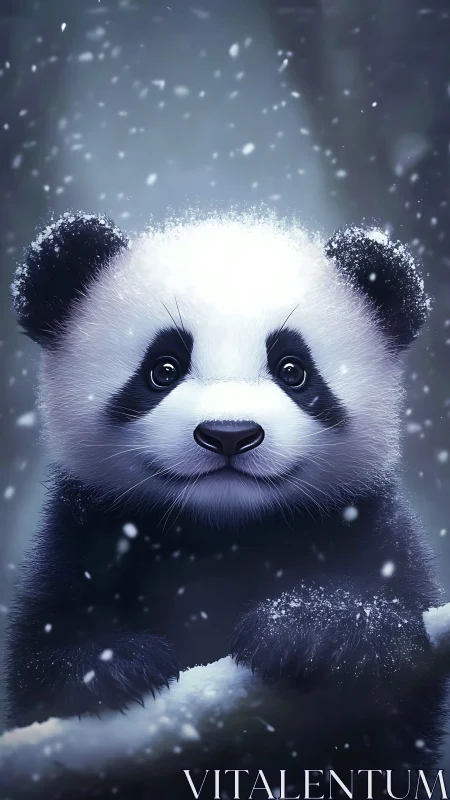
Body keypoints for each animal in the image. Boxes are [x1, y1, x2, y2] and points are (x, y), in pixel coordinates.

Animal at [6, 210, 448, 783]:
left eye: (293, 370)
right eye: (162, 369)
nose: (229, 434)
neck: (224, 534)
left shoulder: (370, 528)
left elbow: (392, 697)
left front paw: (319, 631)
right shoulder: (86, 535)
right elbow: (44, 657)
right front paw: (111, 667)